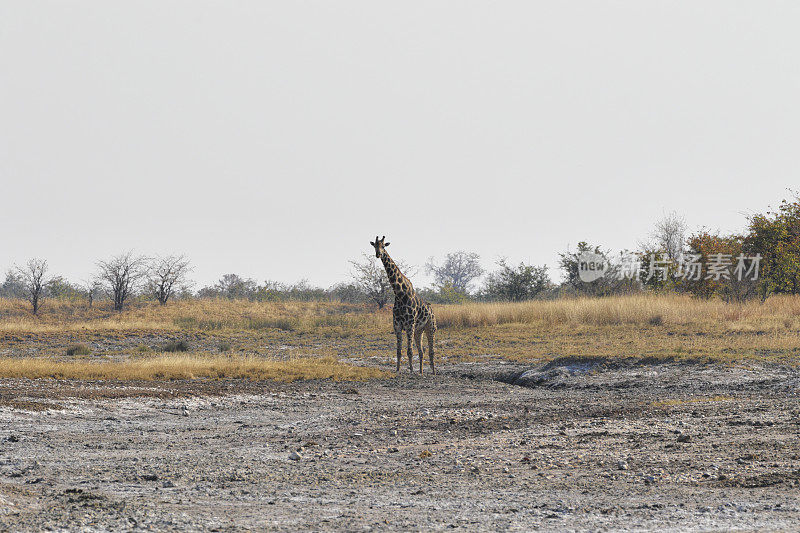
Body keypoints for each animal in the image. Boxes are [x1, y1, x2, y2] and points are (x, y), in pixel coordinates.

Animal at [370, 235, 438, 372]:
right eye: (374, 245)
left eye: (383, 245)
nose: (378, 254)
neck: (400, 294)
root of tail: (432, 311)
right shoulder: (397, 325)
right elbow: (399, 351)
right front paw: (397, 370)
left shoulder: (409, 324)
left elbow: (409, 351)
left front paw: (411, 370)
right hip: (419, 330)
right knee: (422, 351)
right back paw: (421, 372)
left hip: (430, 327)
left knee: (431, 351)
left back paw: (433, 372)